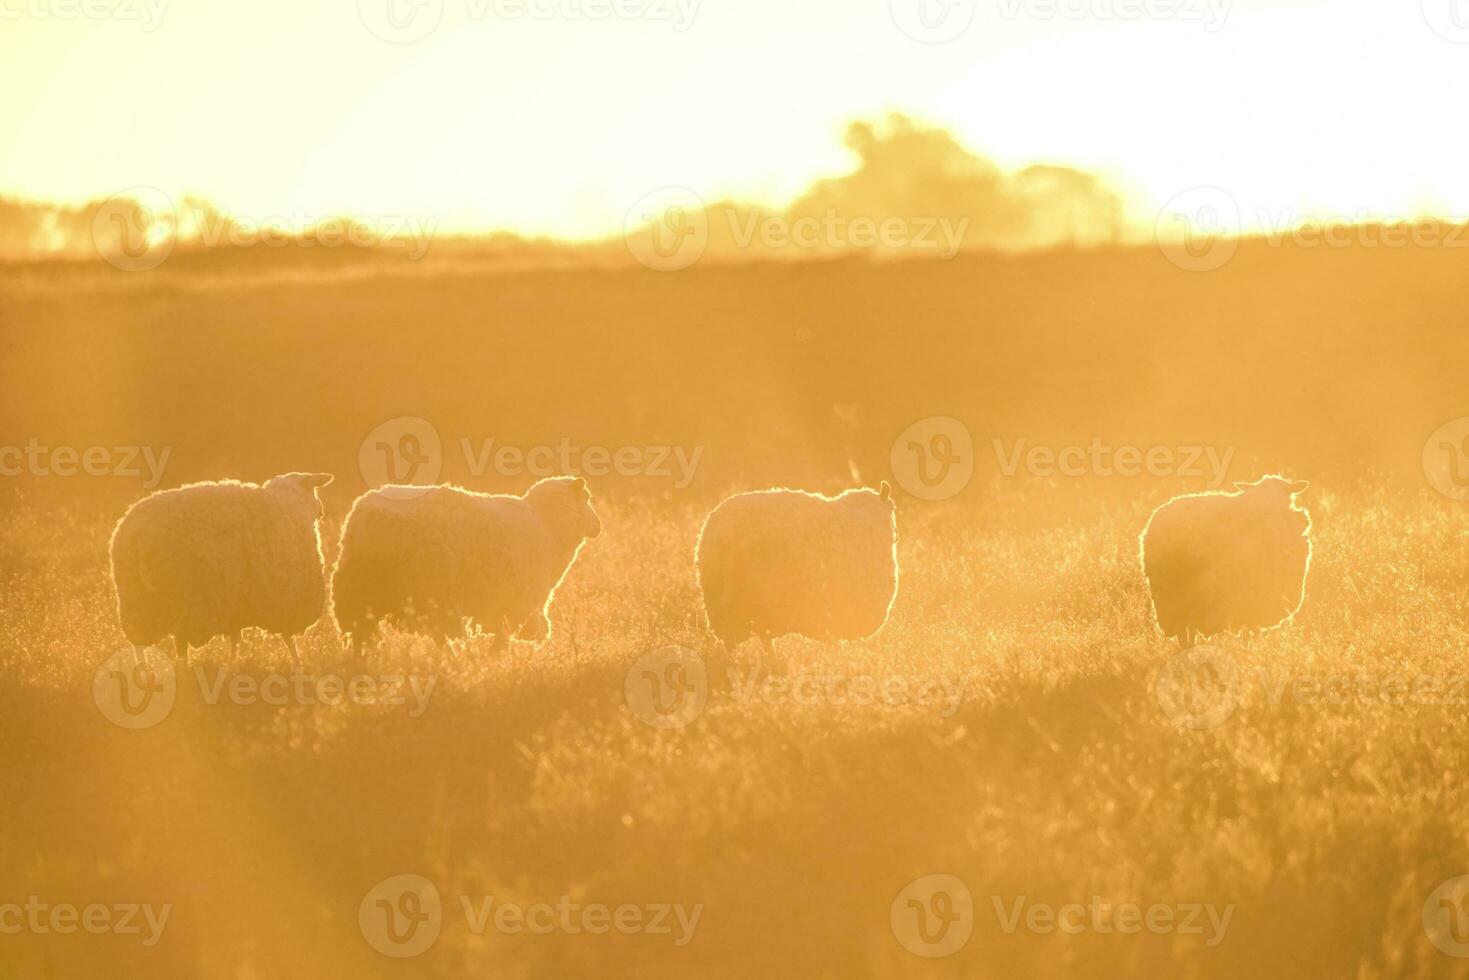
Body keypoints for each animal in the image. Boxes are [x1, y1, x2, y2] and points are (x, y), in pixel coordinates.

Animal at [110, 473, 336, 664]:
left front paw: (232, 664)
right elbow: (289, 640)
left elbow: (236, 639)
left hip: (136, 601)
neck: (293, 505)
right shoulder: (287, 600)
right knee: (177, 646)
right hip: (184, 600)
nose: (323, 511)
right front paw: (298, 664)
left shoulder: (238, 605)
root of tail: (137, 537)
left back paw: (145, 673)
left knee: (140, 643)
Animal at [333, 476, 602, 652]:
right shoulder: (515, 602)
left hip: (357, 589)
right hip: (432, 589)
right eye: (587, 498)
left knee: (359, 634)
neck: (547, 526)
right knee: (440, 635)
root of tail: (371, 519)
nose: (598, 526)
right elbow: (502, 639)